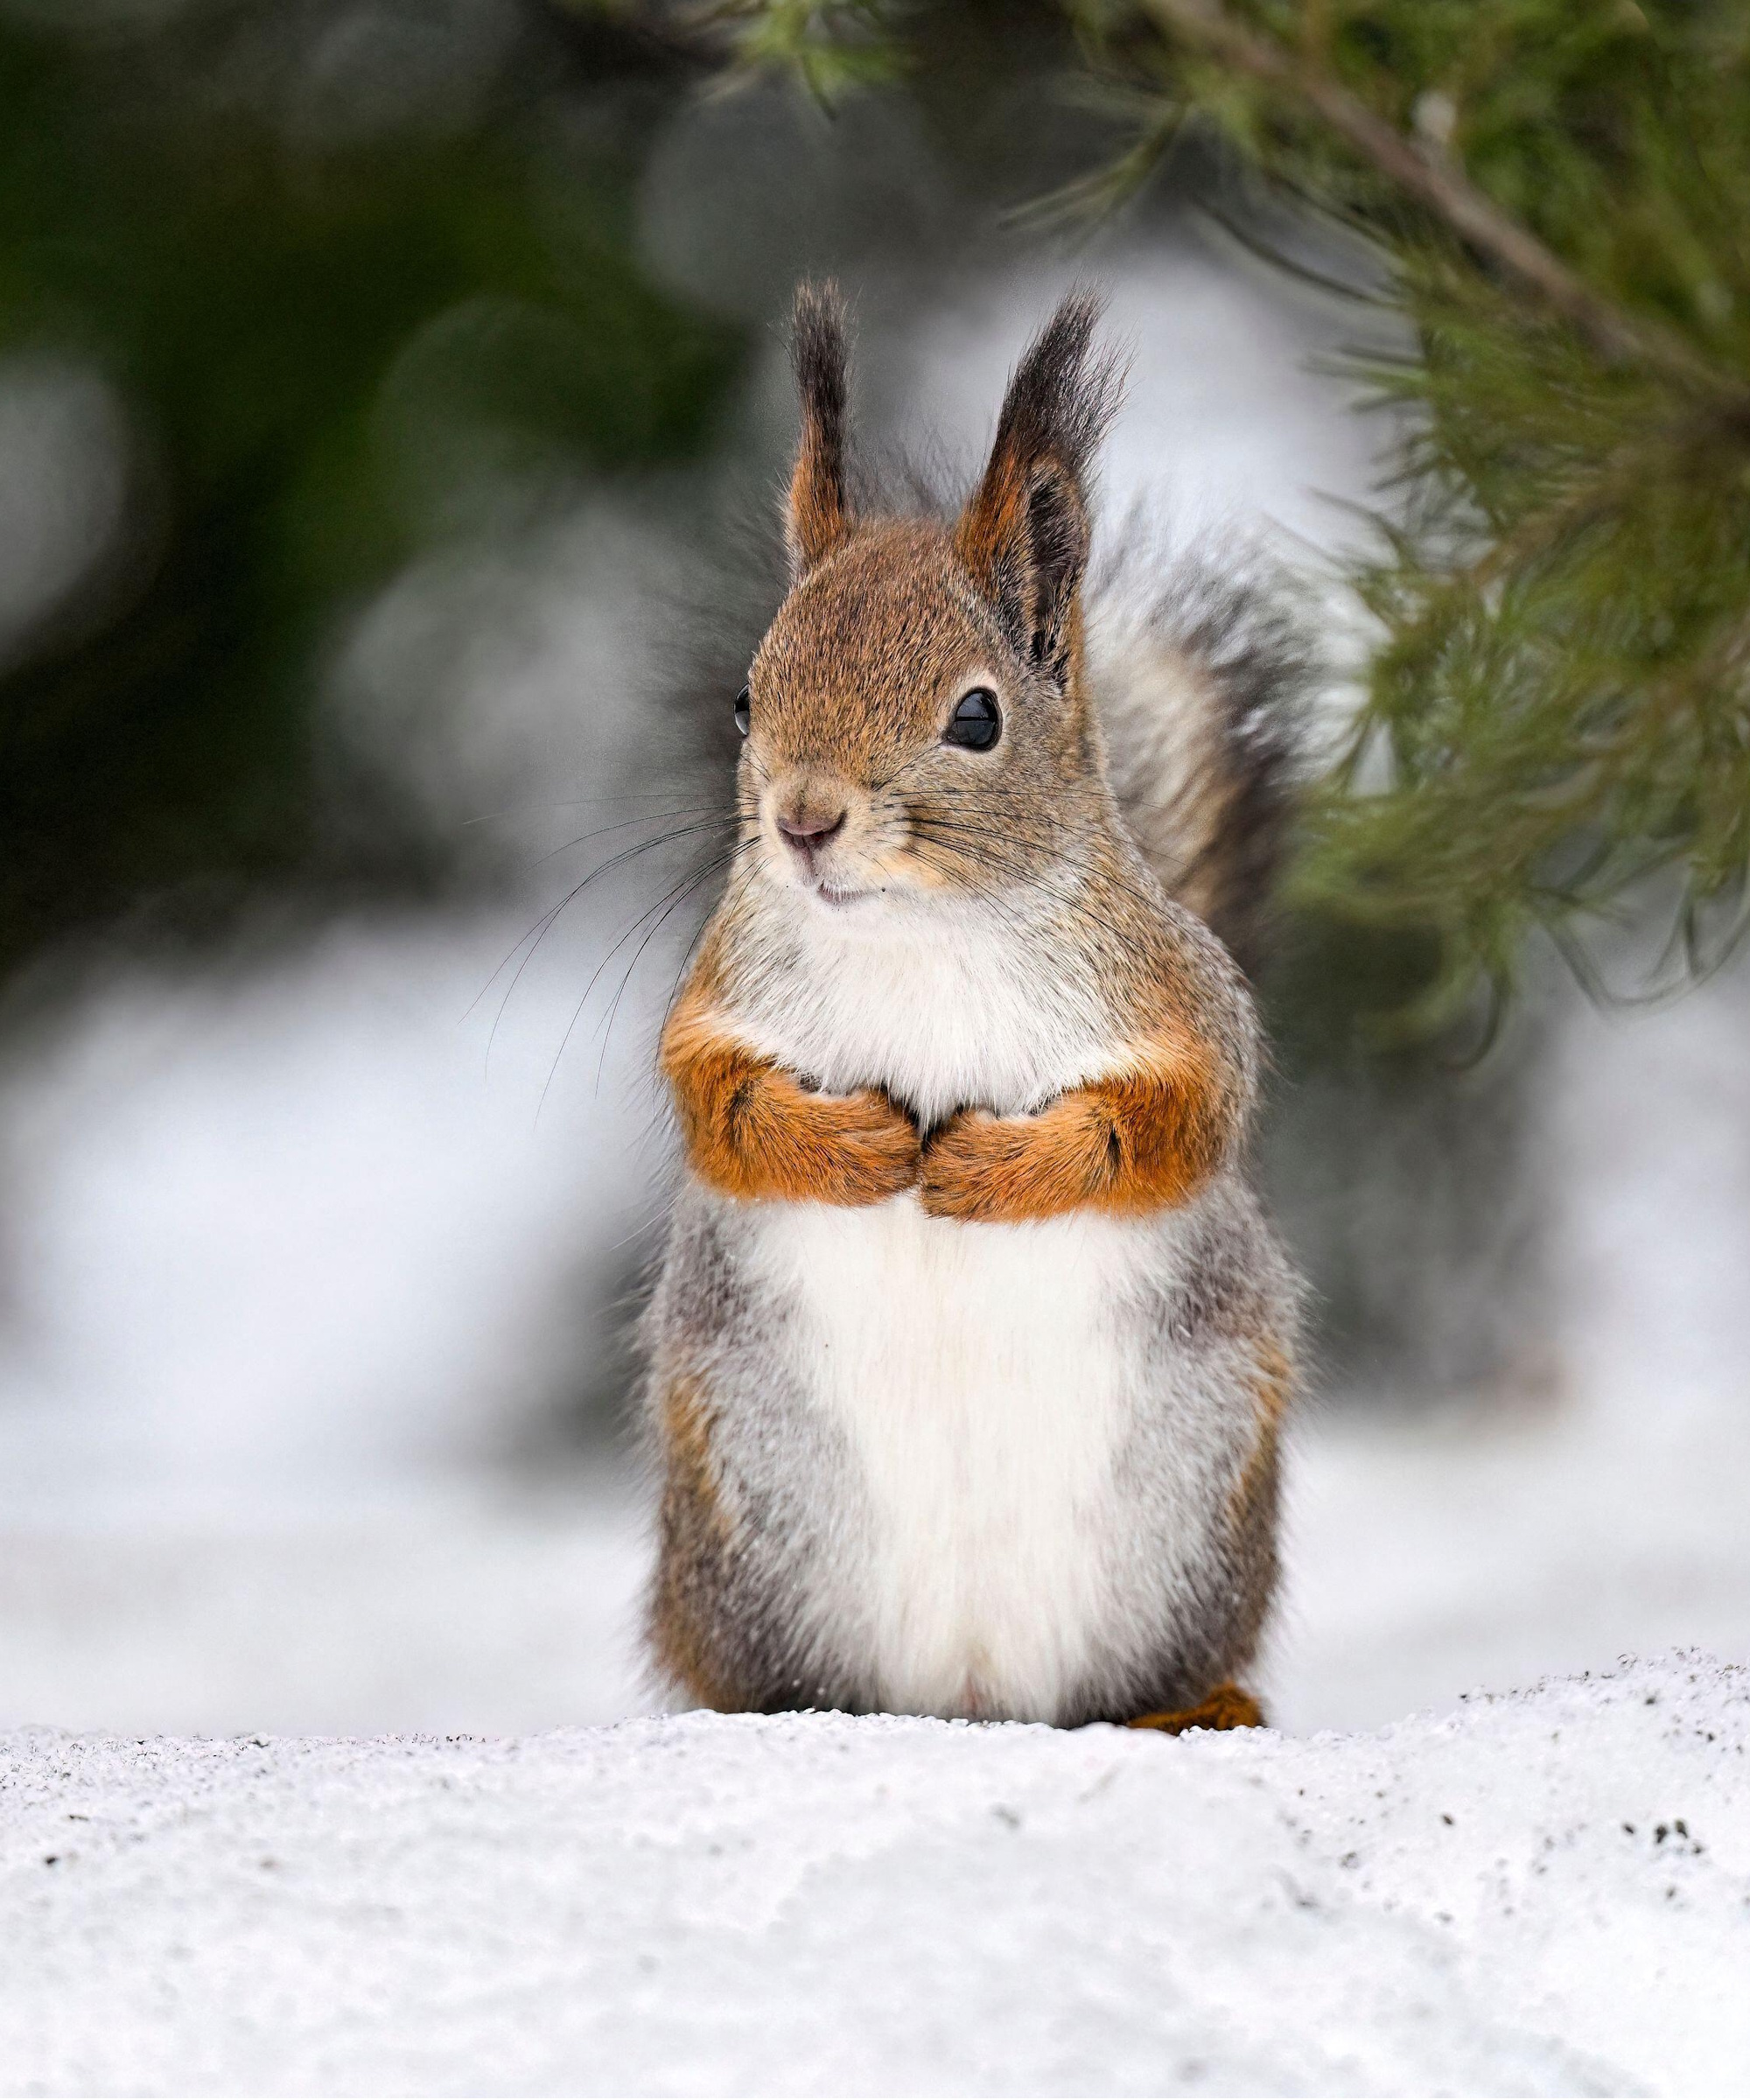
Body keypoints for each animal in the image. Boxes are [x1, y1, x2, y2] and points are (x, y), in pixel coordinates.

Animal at [640, 282, 1306, 1734]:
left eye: (978, 719)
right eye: (746, 696)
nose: (803, 822)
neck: (918, 935)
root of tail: (971, 1696)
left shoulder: (1181, 1007)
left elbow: (1169, 1124)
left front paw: (996, 1167)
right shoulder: (718, 1002)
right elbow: (715, 1108)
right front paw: (854, 1146)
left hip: (1196, 1522)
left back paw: (1194, 1708)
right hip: (746, 1520)